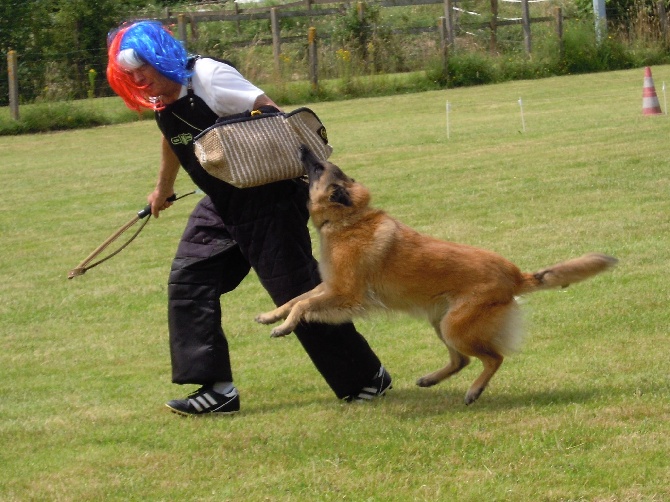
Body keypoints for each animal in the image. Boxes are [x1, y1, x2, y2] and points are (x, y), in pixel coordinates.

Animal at [256, 145, 620, 404]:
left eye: (318, 168)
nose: (303, 146)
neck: (349, 220)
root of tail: (517, 275)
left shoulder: (345, 295)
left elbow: (304, 305)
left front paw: (284, 328)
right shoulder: (329, 287)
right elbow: (295, 298)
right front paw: (272, 316)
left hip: (454, 326)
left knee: (494, 357)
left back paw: (474, 391)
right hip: (440, 322)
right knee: (463, 361)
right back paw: (432, 379)